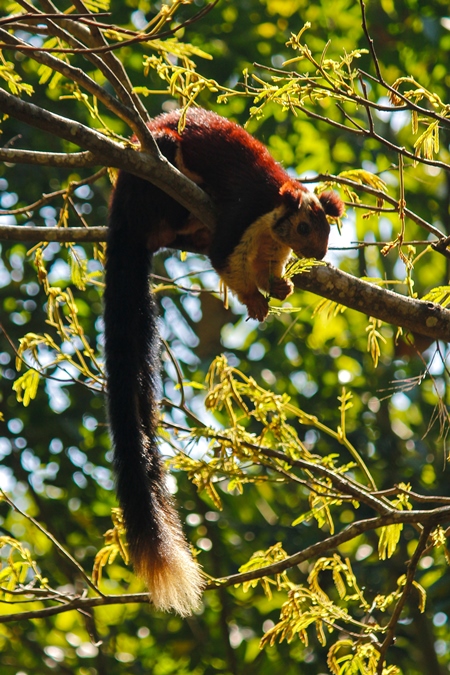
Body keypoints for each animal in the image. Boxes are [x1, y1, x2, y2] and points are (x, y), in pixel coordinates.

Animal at [103, 107, 344, 616]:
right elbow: (226, 260)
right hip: (156, 176)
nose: (319, 254)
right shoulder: (242, 216)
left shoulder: (270, 243)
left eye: (327, 230)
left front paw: (279, 286)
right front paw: (254, 299)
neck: (275, 213)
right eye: (306, 229)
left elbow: (267, 266)